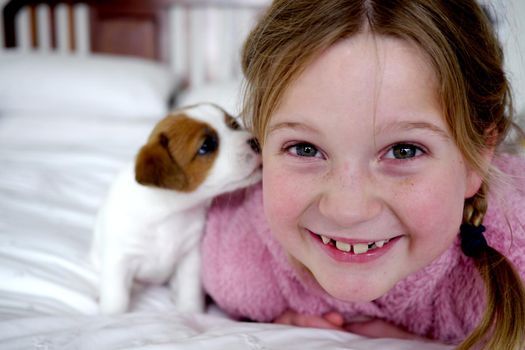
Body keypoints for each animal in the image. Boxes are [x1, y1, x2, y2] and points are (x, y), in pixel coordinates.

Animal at [91, 103, 262, 314]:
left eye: (234, 125)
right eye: (206, 146)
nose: (256, 141)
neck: (169, 212)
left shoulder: (190, 257)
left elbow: (190, 293)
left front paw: (191, 313)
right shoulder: (120, 259)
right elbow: (116, 299)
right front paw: (113, 316)